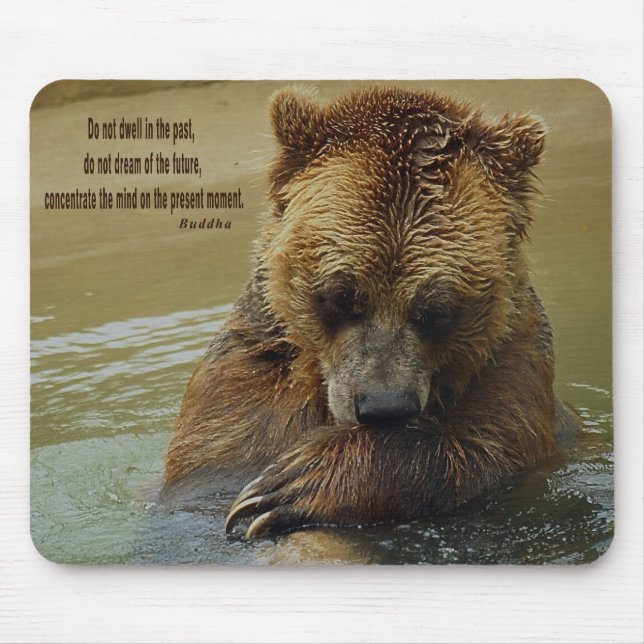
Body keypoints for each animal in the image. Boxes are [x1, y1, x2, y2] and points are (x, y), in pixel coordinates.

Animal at [163, 85, 577, 539]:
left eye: (438, 310)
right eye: (340, 296)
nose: (384, 408)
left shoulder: (512, 368)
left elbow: (484, 444)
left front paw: (293, 486)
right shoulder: (247, 379)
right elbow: (218, 466)